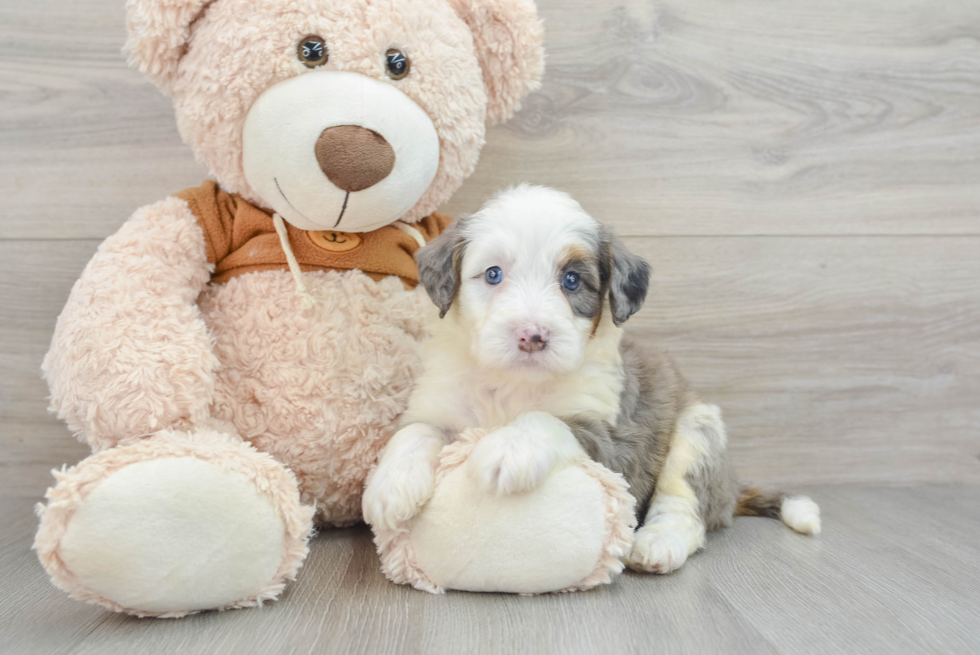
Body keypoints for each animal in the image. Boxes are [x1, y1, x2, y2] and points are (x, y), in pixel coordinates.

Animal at [362, 184, 820, 576]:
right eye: (493, 274)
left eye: (571, 281)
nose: (532, 336)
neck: (513, 383)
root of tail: (731, 488)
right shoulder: (440, 404)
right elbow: (414, 432)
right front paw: (389, 486)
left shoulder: (612, 438)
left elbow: (547, 419)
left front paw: (508, 447)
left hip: (699, 428)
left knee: (685, 505)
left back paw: (657, 543)